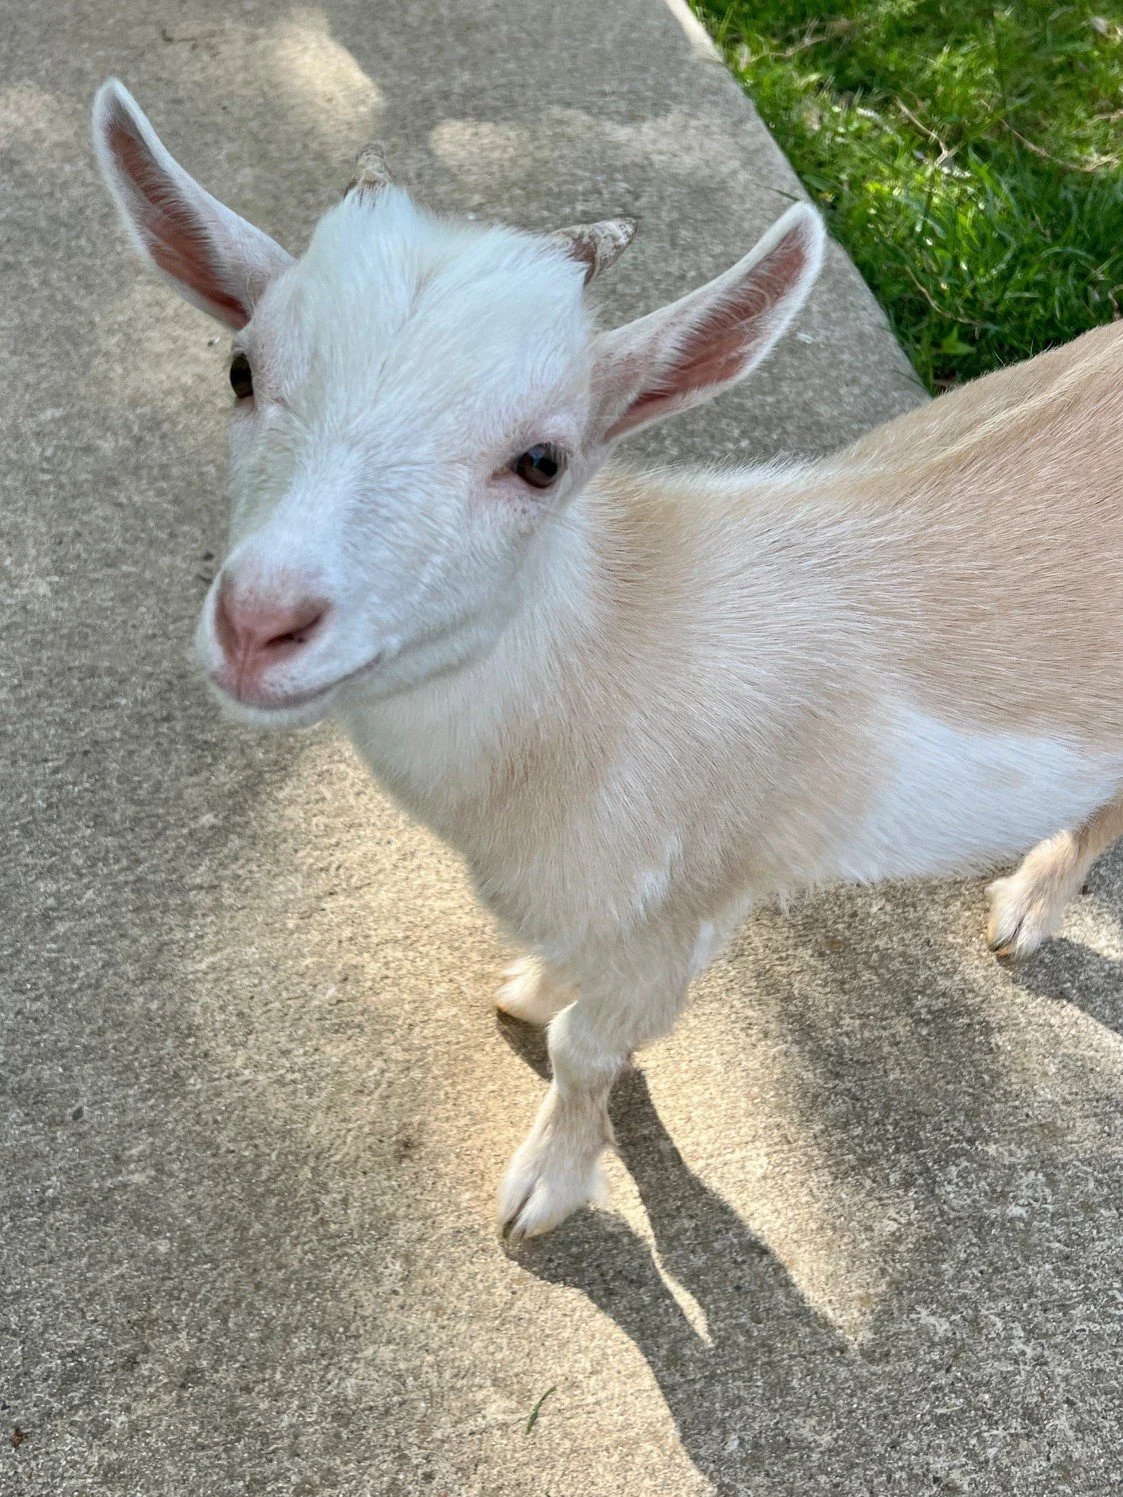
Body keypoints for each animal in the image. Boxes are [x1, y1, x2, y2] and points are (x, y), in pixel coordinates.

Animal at [93, 79, 1123, 1240]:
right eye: (240, 368)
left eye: (541, 461)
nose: (260, 621)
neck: (617, 659)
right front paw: (538, 983)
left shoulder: (685, 897)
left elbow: (585, 1049)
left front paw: (547, 1186)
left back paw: (1030, 906)